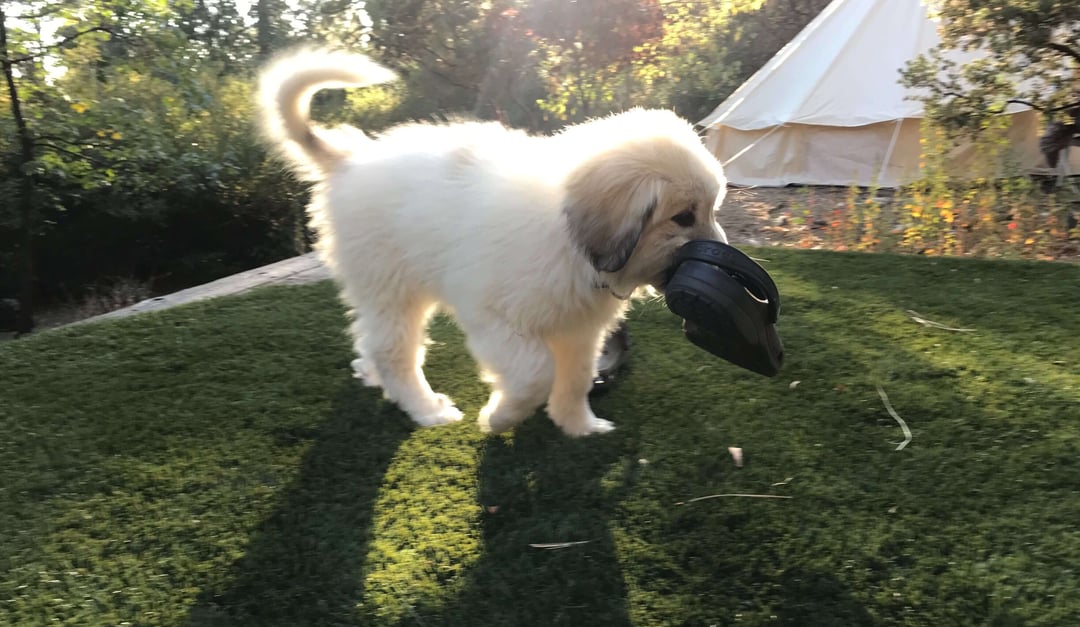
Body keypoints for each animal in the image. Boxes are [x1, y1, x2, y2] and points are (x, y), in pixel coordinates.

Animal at [257, 48, 730, 435]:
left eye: (712, 209)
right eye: (683, 217)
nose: (722, 259)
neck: (570, 242)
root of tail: (348, 159)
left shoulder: (579, 330)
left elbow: (575, 378)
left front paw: (578, 425)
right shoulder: (494, 319)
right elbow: (537, 373)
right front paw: (500, 417)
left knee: (370, 341)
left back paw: (373, 375)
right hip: (391, 287)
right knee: (393, 350)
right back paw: (427, 409)